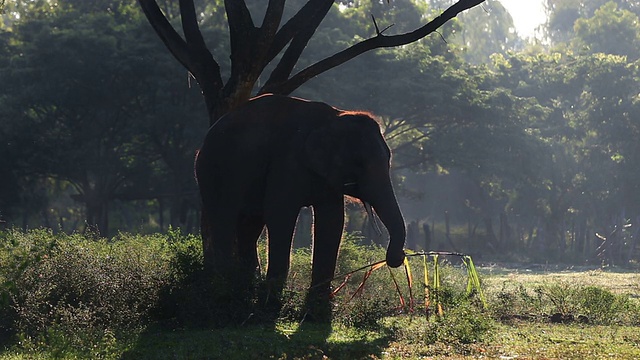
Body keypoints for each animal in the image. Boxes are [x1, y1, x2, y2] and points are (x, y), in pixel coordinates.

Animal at [194, 94, 404, 320]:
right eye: (358, 163)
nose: (398, 257)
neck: (335, 116)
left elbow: (332, 220)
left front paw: (318, 312)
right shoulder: (287, 161)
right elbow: (280, 213)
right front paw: (272, 306)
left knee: (249, 227)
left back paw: (244, 290)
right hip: (212, 170)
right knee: (224, 220)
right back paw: (225, 291)